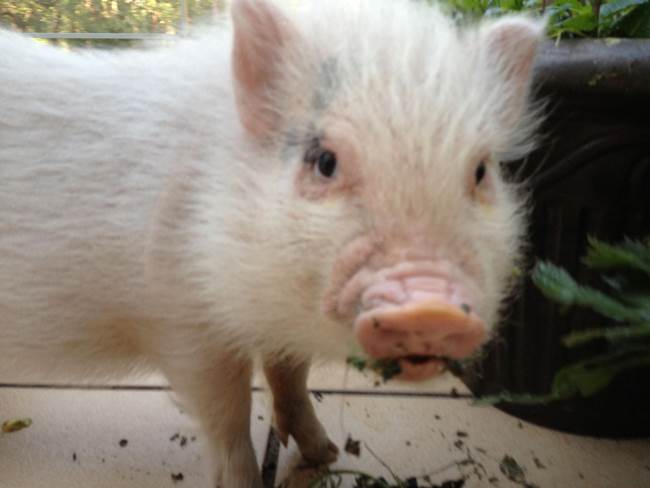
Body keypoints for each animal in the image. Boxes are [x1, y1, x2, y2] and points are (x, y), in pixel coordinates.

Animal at [0, 0, 545, 486]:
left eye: (481, 170)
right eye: (324, 161)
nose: (431, 308)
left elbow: (291, 378)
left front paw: (325, 453)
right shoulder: (182, 322)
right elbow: (227, 413)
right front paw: (244, 480)